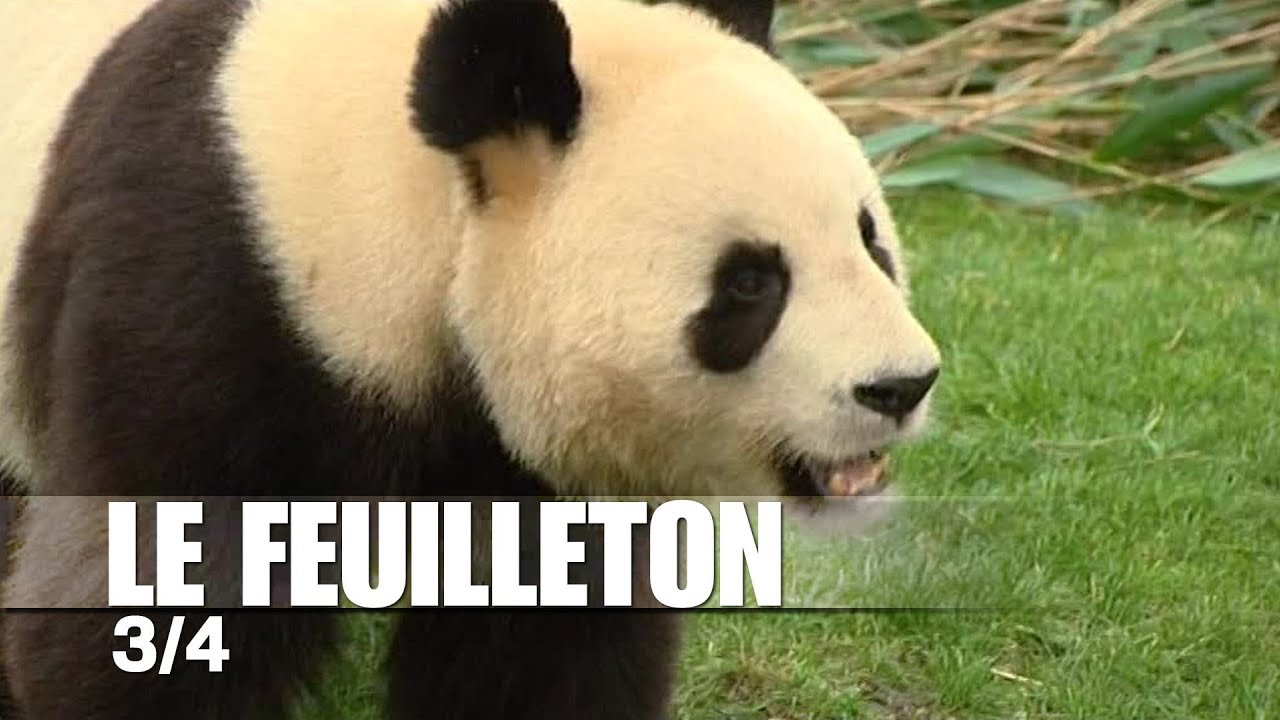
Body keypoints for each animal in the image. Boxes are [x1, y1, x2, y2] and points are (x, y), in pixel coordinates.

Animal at [0, 0, 942, 718]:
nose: (901, 385)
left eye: (870, 239)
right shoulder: (204, 290)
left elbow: (538, 643)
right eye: (749, 282)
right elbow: (157, 599)